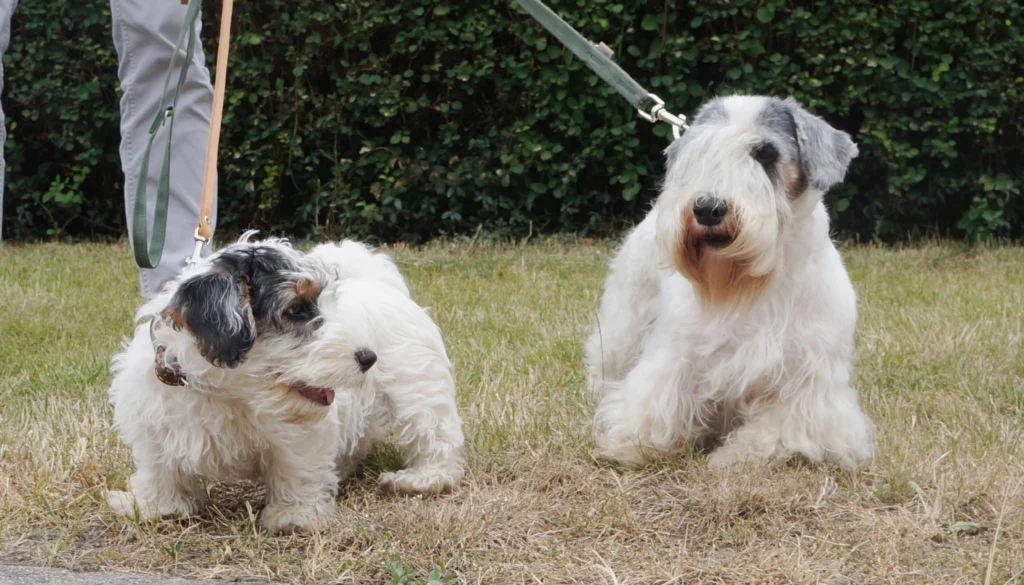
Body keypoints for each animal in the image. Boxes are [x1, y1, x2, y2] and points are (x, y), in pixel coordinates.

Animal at [103, 232, 464, 532]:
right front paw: (155, 506)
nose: (368, 357)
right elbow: (158, 466)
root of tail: (375, 281)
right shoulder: (155, 420)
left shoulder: (299, 434)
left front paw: (294, 515)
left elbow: (297, 466)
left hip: (416, 387)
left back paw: (422, 478)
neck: (231, 393)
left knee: (434, 433)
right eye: (297, 309)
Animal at [585, 94, 872, 471]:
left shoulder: (808, 386)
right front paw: (629, 444)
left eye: (765, 152)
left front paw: (735, 456)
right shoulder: (676, 356)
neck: (756, 281)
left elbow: (778, 430)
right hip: (623, 327)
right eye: (701, 150)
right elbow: (654, 402)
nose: (707, 208)